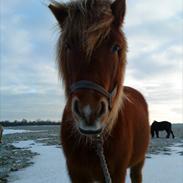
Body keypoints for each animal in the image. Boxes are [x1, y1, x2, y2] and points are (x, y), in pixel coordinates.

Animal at [49, 0, 150, 182]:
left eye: (116, 47)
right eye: (67, 46)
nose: (89, 112)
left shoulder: (117, 173)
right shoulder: (76, 173)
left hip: (138, 162)